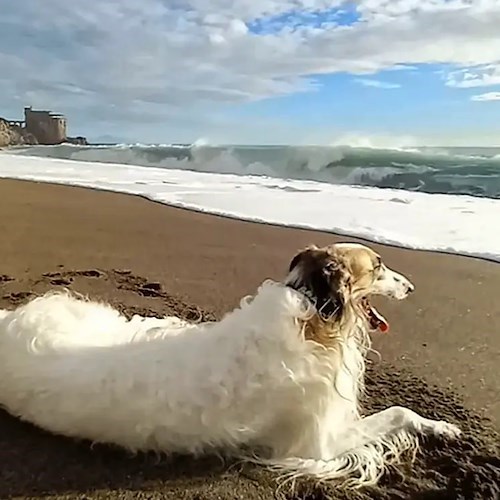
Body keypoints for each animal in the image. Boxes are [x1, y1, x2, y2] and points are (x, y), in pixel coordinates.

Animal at [0, 244, 460, 486]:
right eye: (379, 266)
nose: (411, 286)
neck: (310, 314)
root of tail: (9, 323)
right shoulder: (317, 446)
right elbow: (398, 412)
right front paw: (441, 426)